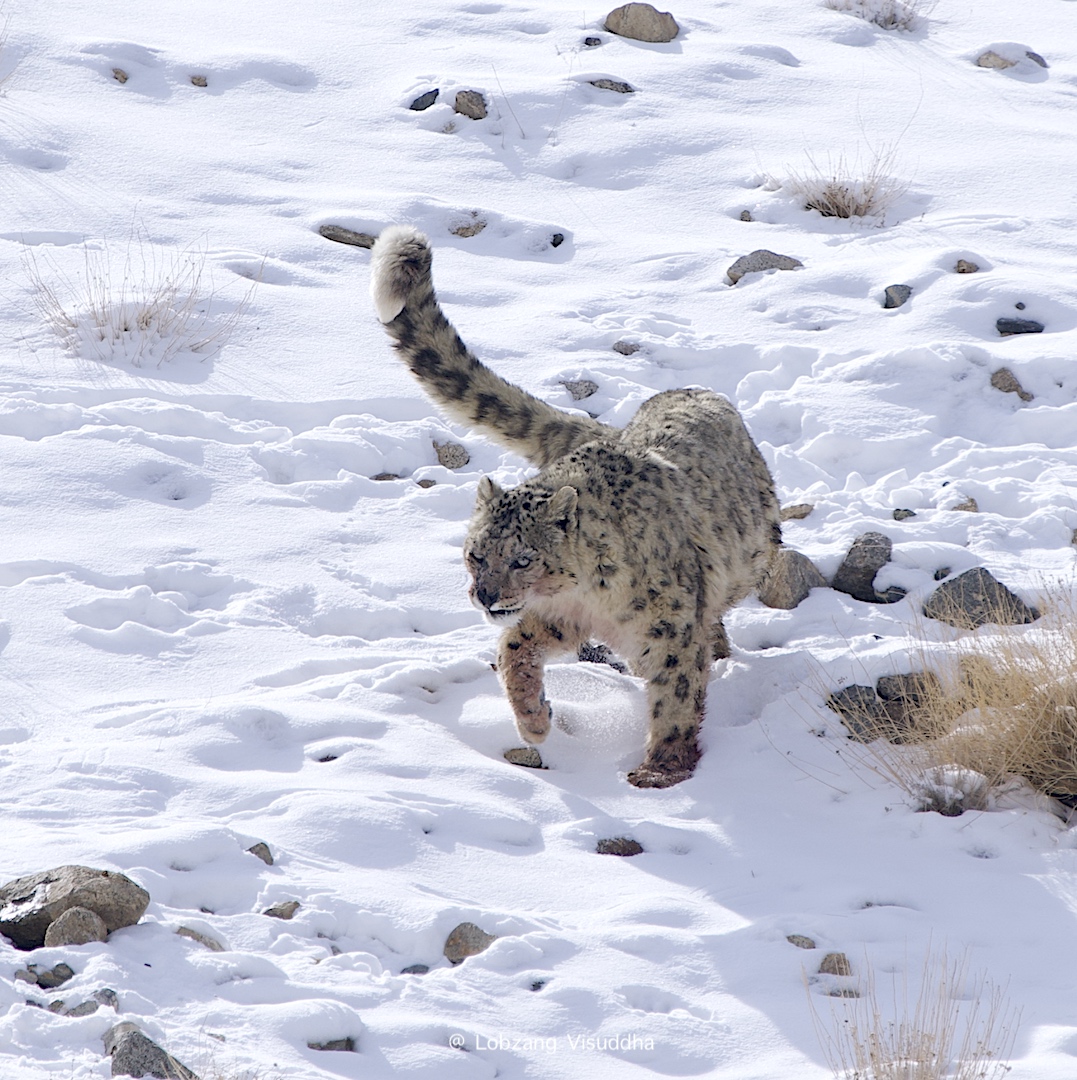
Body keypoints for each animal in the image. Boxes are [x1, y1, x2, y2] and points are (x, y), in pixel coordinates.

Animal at [369, 225, 781, 787]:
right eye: (476, 554)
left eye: (523, 558)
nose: (486, 596)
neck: (591, 596)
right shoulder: (558, 616)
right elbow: (514, 646)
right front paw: (535, 721)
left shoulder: (669, 628)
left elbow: (675, 695)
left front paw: (661, 771)